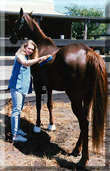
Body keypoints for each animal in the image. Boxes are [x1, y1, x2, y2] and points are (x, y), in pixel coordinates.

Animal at [9, 8, 107, 167]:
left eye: (17, 22)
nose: (11, 38)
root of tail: (89, 52)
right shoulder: (49, 86)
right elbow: (50, 104)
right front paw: (51, 125)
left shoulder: (38, 83)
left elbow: (38, 105)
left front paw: (37, 126)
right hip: (87, 97)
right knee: (85, 120)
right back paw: (76, 150)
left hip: (75, 98)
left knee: (84, 122)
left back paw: (83, 159)